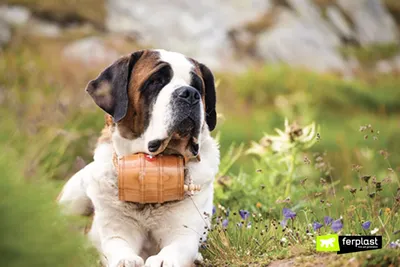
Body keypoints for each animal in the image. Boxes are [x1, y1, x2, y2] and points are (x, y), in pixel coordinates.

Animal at [57, 48, 219, 267]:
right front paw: (126, 260)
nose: (189, 93)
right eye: (156, 81)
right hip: (73, 195)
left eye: (197, 87)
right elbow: (117, 244)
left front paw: (163, 260)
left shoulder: (183, 231)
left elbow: (177, 248)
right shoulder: (117, 227)